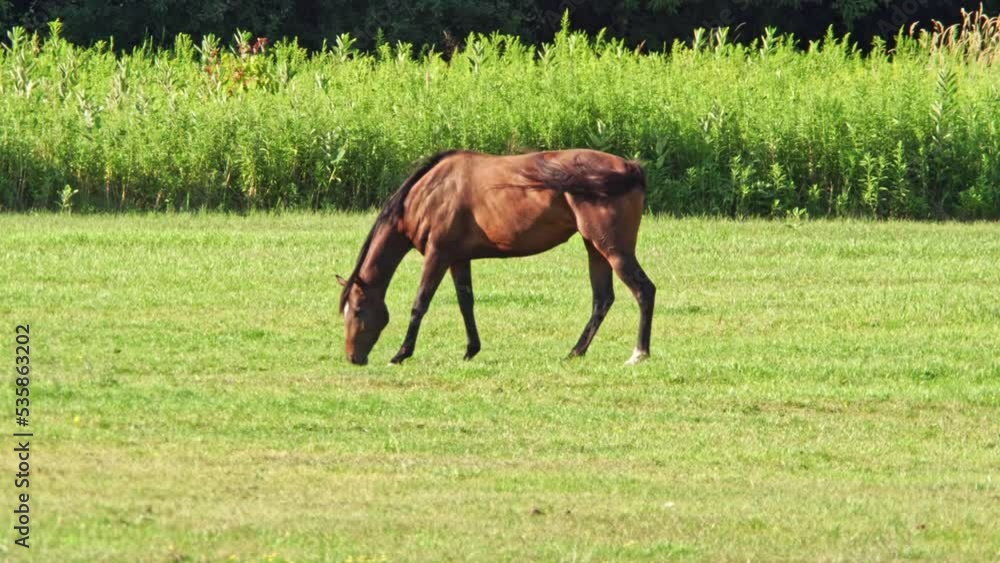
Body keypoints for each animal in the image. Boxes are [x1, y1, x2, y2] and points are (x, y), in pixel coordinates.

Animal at [336, 148, 656, 366]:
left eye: (357, 310)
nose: (353, 358)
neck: (429, 192)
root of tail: (630, 169)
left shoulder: (437, 255)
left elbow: (420, 304)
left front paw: (401, 353)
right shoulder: (458, 259)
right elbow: (466, 303)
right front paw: (470, 350)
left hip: (613, 250)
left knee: (644, 290)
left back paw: (638, 353)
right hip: (595, 249)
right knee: (602, 299)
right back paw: (576, 351)